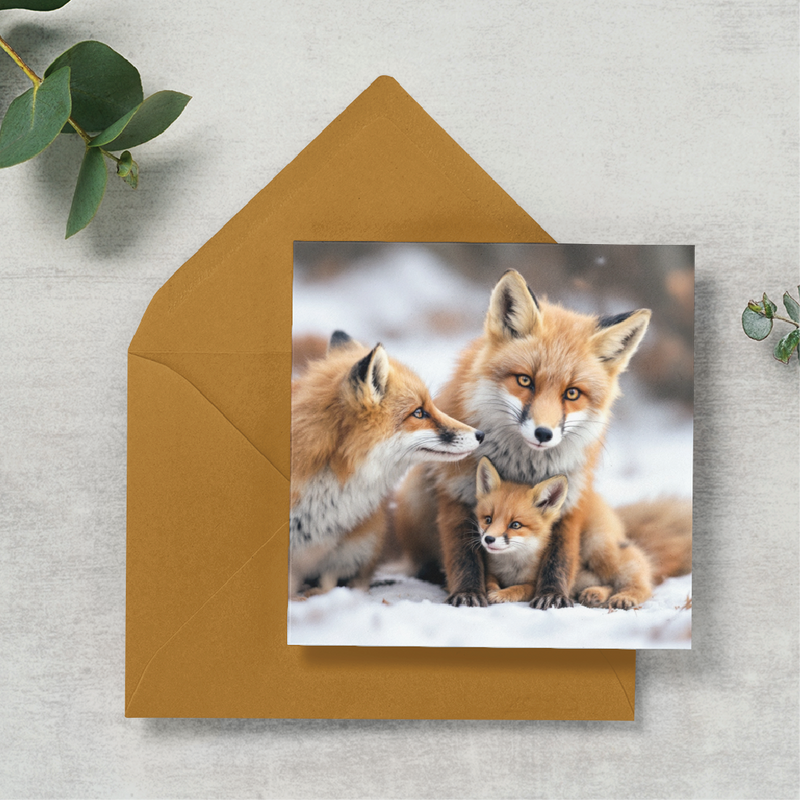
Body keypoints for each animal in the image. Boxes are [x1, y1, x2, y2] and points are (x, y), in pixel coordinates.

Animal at [394, 268, 691, 609]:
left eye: (572, 393)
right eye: (525, 380)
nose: (544, 433)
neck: (524, 468)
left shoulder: (571, 497)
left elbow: (559, 557)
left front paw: (552, 595)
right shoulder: (456, 489)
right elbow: (463, 553)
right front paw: (469, 592)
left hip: (599, 543)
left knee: (638, 566)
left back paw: (618, 595)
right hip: (415, 492)